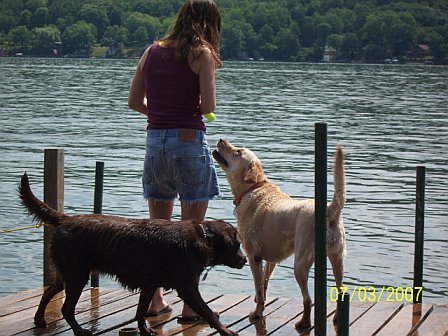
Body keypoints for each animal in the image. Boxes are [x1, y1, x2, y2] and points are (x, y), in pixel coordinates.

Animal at [19, 173, 247, 336]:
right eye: (237, 244)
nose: (244, 260)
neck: (204, 237)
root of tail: (65, 219)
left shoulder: (150, 283)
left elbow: (141, 310)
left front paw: (145, 329)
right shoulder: (187, 287)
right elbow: (207, 312)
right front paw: (226, 331)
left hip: (67, 272)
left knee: (49, 292)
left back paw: (40, 320)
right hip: (77, 274)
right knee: (66, 308)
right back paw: (79, 330)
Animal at [214, 139, 346, 330]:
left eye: (238, 152)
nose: (221, 140)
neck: (253, 188)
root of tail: (329, 210)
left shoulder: (253, 257)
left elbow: (259, 286)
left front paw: (257, 314)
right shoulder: (271, 259)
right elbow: (264, 283)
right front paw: (259, 303)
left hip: (300, 263)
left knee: (308, 299)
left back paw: (303, 323)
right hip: (337, 258)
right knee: (341, 290)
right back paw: (336, 318)